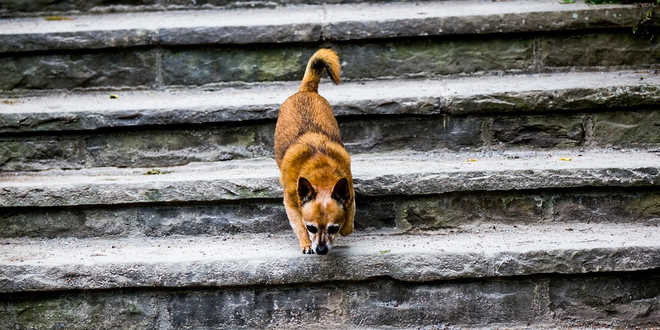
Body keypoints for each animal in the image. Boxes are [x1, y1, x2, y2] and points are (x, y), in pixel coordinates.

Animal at [274, 49, 356, 255]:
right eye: (311, 228)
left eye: (333, 228)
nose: (320, 249)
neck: (321, 173)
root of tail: (306, 90)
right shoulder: (291, 204)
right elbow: (298, 224)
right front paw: (305, 243)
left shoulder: (349, 193)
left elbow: (348, 222)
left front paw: (345, 227)